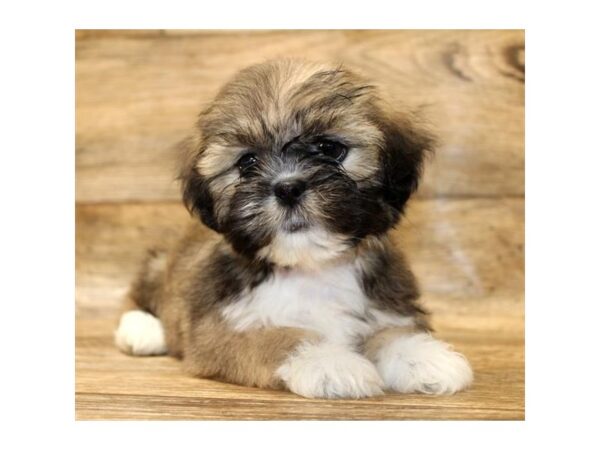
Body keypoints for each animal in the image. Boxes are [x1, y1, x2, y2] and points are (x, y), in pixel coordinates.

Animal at [115, 59, 474, 398]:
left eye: (330, 149)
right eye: (247, 162)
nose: (287, 188)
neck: (311, 267)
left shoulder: (386, 303)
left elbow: (391, 331)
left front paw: (421, 355)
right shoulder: (217, 330)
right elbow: (279, 338)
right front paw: (329, 361)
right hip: (160, 267)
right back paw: (142, 328)